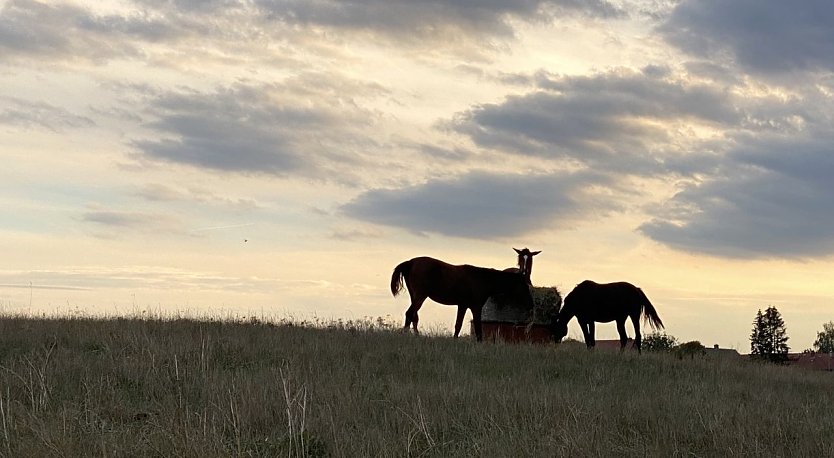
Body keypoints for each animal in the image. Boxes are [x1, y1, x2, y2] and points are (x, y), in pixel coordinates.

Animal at [392, 256, 532, 342]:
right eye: (524, 285)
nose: (530, 302)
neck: (483, 280)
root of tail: (411, 262)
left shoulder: (462, 305)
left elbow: (458, 325)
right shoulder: (476, 307)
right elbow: (478, 327)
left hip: (415, 296)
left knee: (413, 316)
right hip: (420, 296)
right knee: (409, 313)